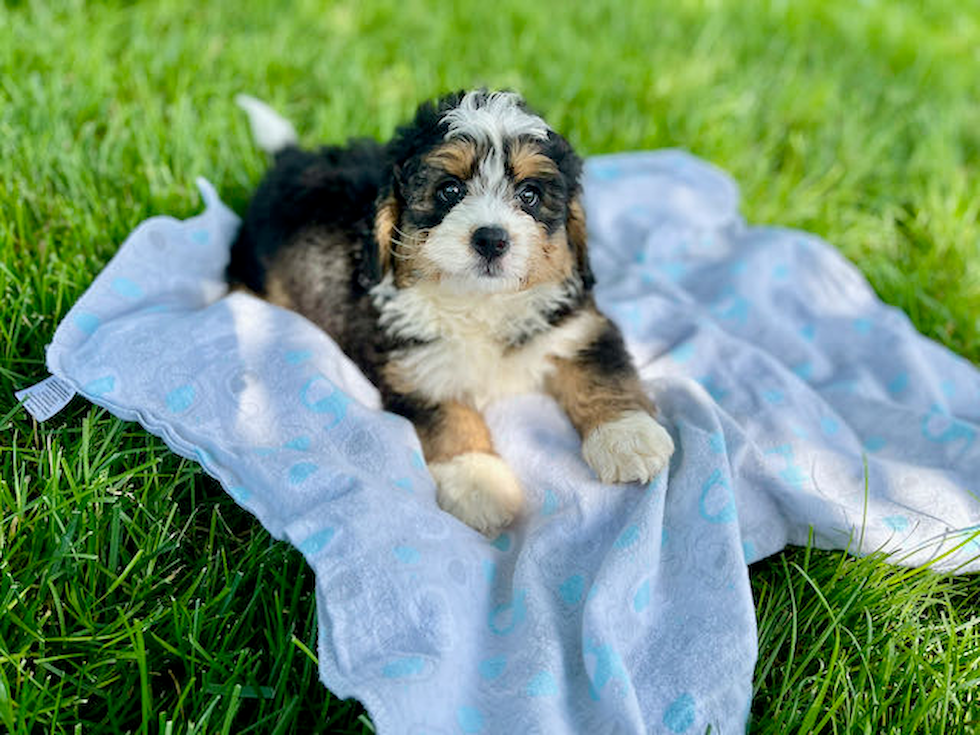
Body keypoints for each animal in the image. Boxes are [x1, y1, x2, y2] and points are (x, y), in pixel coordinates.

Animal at [228, 90, 672, 536]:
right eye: (450, 190)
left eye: (529, 194)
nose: (491, 239)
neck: (481, 303)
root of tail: (293, 159)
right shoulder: (416, 368)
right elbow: (452, 421)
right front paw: (479, 485)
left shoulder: (576, 328)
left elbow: (602, 373)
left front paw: (628, 439)